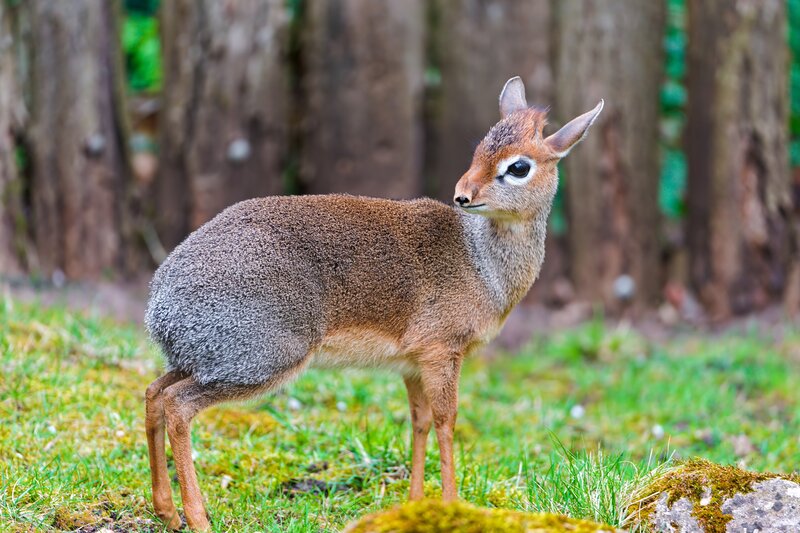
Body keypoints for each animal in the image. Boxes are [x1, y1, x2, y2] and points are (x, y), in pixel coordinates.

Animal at [144, 76, 603, 530]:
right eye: (480, 150)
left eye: (518, 165)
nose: (463, 195)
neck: (482, 264)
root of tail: (159, 306)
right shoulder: (442, 351)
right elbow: (447, 422)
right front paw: (452, 506)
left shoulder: (413, 364)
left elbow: (419, 422)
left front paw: (415, 505)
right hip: (260, 362)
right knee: (179, 406)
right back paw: (198, 517)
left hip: (200, 360)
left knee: (154, 393)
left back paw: (166, 509)